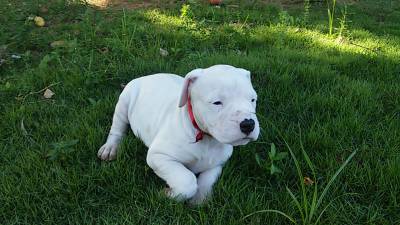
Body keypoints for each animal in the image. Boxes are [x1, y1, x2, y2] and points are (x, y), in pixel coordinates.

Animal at [97, 64, 260, 204]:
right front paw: (168, 194)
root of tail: (146, 77)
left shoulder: (217, 163)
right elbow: (187, 181)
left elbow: (207, 179)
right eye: (217, 102)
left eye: (253, 100)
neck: (205, 138)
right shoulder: (159, 156)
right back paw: (110, 148)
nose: (248, 124)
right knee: (117, 128)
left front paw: (199, 199)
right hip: (124, 102)